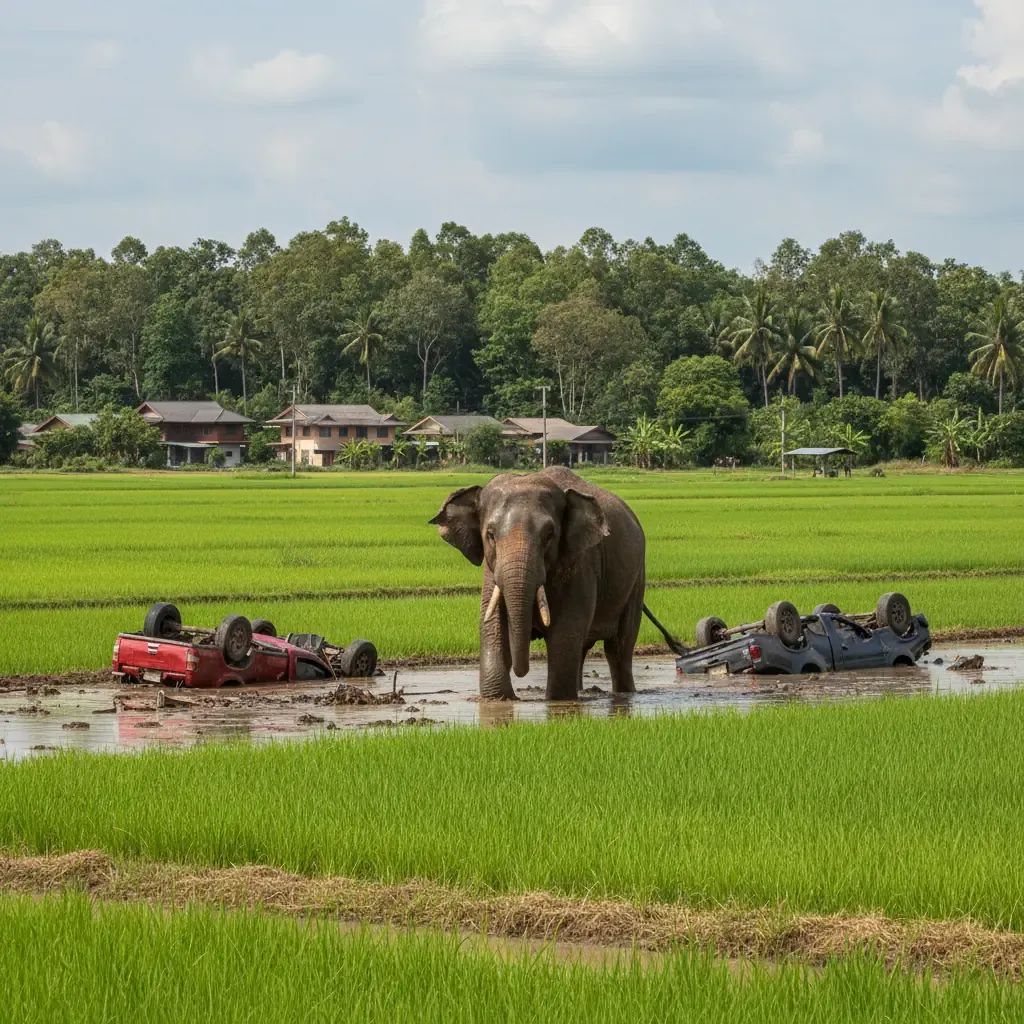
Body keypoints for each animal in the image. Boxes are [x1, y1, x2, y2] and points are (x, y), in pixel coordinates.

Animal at [430, 467, 646, 701]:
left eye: (549, 535)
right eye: (490, 535)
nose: (521, 671)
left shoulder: (581, 563)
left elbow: (566, 629)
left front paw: (558, 700)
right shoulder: (491, 570)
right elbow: (492, 623)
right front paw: (498, 699)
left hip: (637, 581)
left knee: (618, 649)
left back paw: (624, 694)